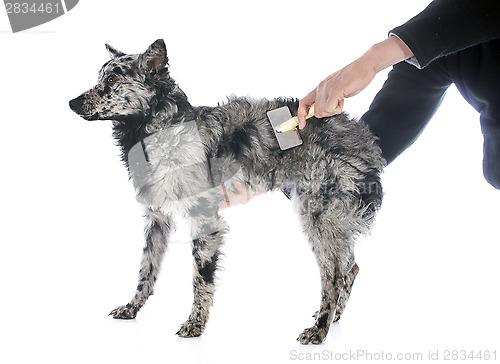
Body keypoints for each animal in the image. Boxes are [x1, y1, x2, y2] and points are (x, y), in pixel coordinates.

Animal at [68, 39, 384, 344]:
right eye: (100, 77)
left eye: (111, 79)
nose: (71, 102)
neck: (162, 128)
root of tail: (362, 136)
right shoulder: (157, 220)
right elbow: (147, 270)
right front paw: (132, 308)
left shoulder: (205, 220)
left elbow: (200, 278)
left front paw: (195, 324)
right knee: (351, 267)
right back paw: (332, 316)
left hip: (318, 217)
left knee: (334, 276)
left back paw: (319, 329)